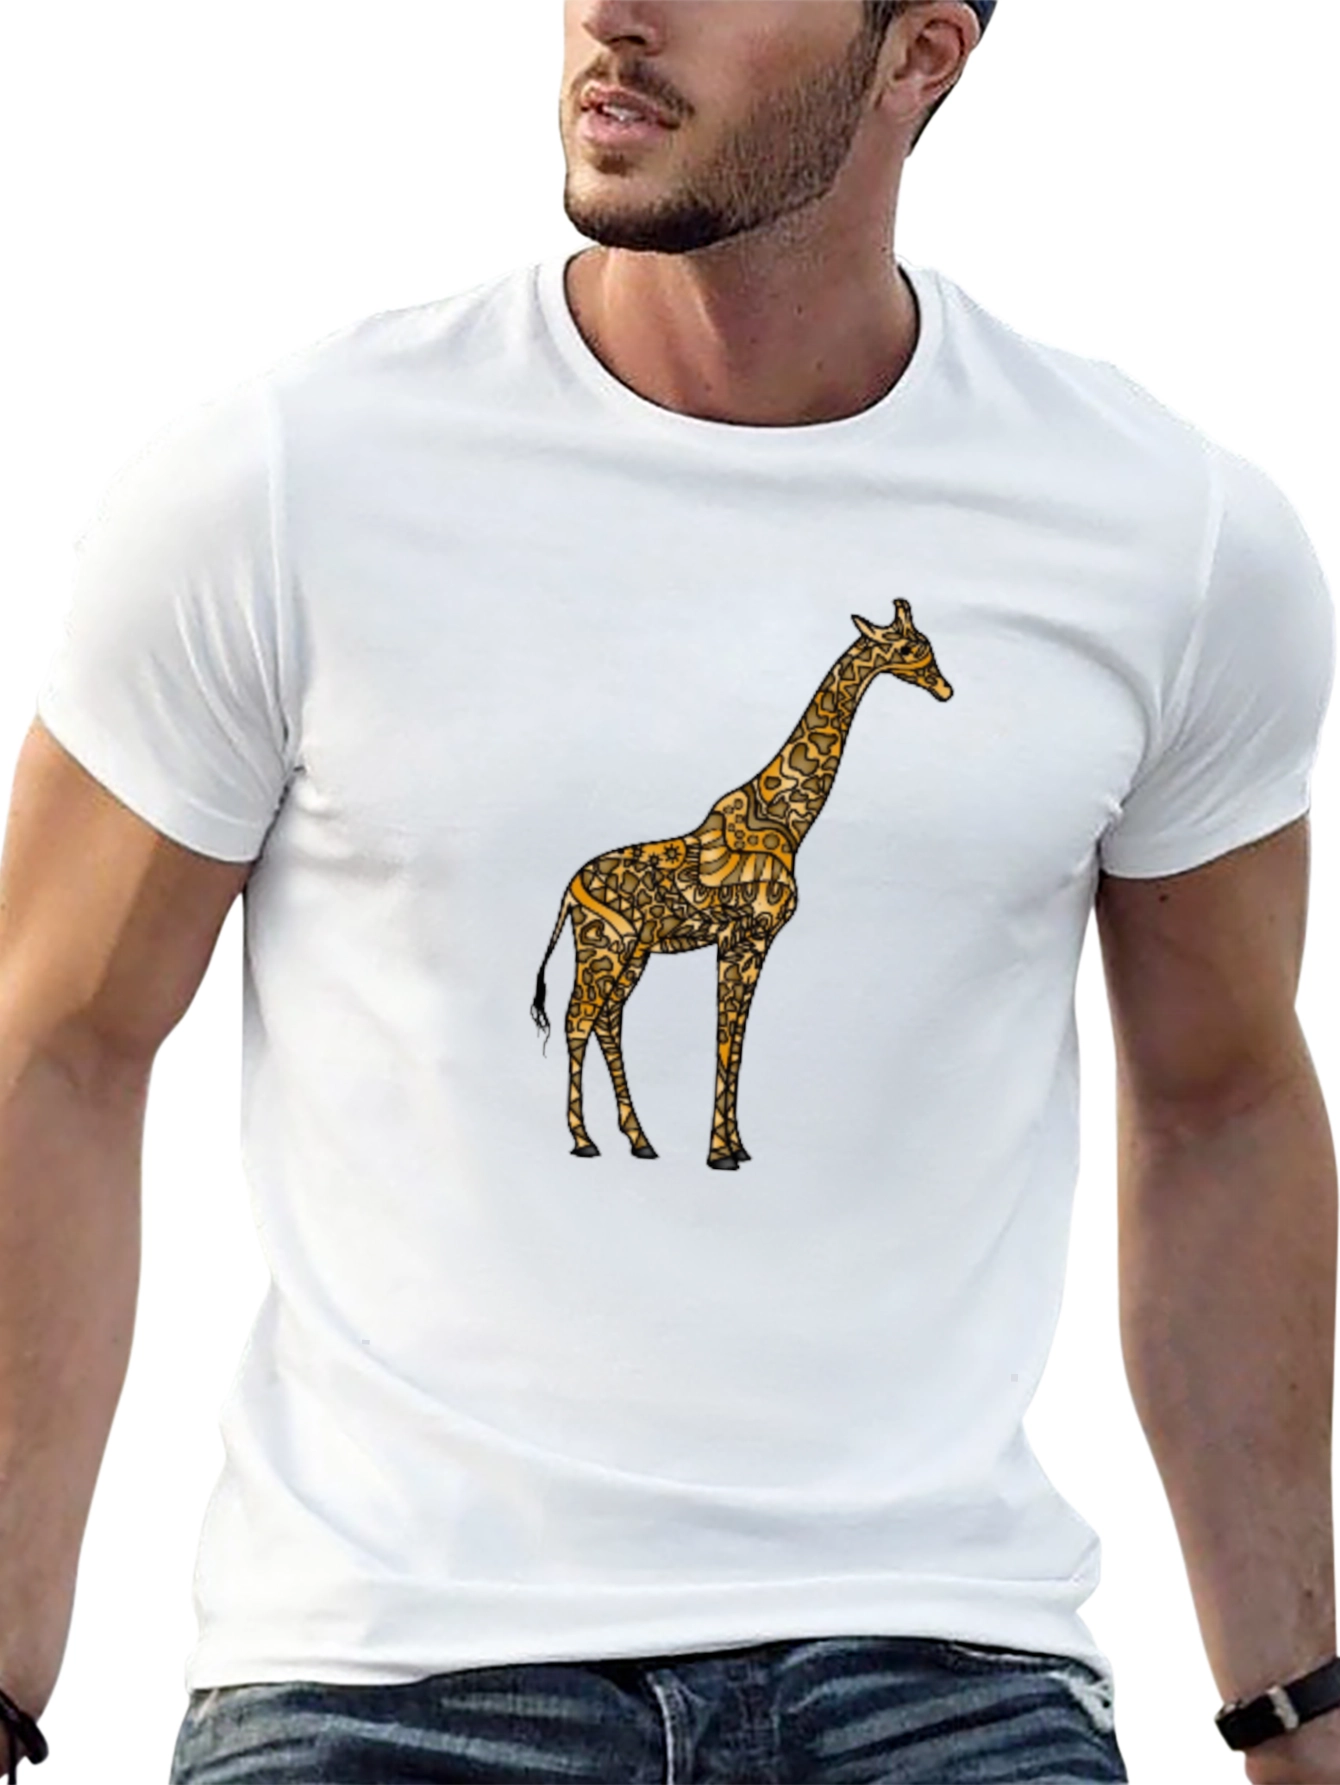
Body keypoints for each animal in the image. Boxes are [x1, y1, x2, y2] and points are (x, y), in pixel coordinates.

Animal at [530, 599, 954, 1170]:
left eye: (928, 646)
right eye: (911, 648)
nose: (945, 688)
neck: (789, 824)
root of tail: (567, 891)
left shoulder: (754, 943)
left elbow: (737, 1041)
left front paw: (737, 1146)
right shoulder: (742, 938)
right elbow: (727, 1039)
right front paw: (720, 1153)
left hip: (633, 953)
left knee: (607, 1021)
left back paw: (640, 1141)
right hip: (604, 946)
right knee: (579, 1020)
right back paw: (584, 1141)